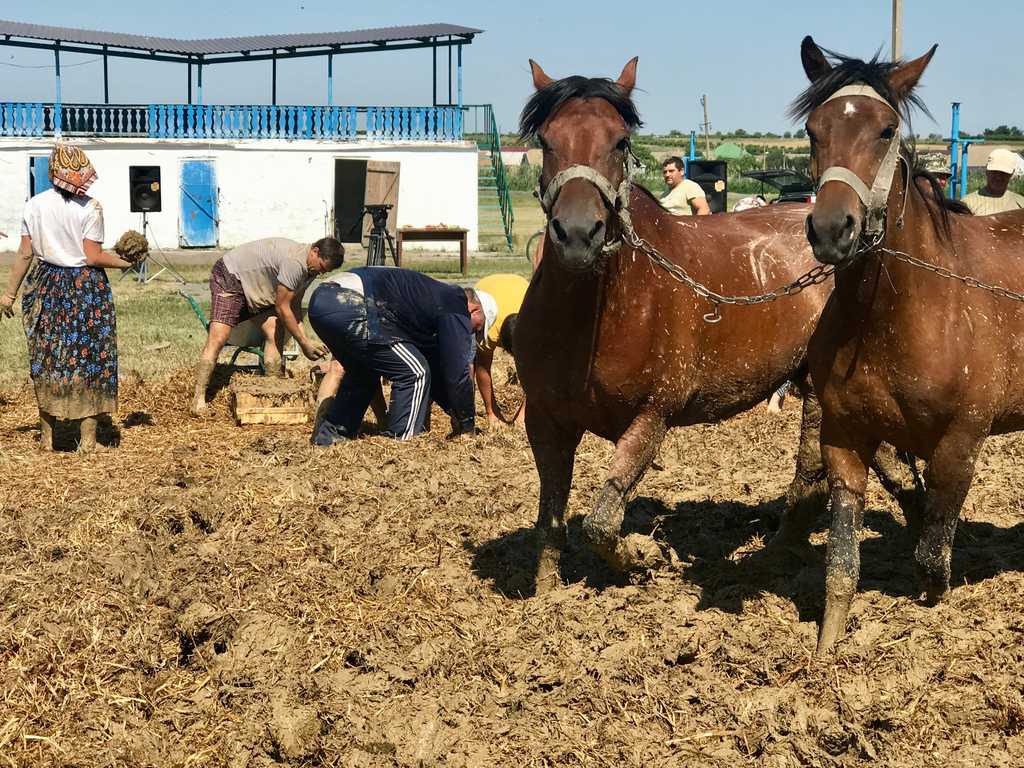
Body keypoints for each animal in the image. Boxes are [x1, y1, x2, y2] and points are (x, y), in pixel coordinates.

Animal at [512, 58, 921, 593]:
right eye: (545, 139)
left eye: (620, 141)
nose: (578, 234)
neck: (598, 316)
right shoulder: (545, 420)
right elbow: (551, 515)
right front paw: (545, 593)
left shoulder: (652, 416)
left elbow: (601, 522)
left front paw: (646, 556)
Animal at [794, 37, 1024, 655]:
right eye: (813, 130)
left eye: (885, 129)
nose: (833, 230)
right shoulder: (844, 438)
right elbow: (841, 564)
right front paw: (824, 654)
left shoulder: (960, 445)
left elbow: (931, 556)